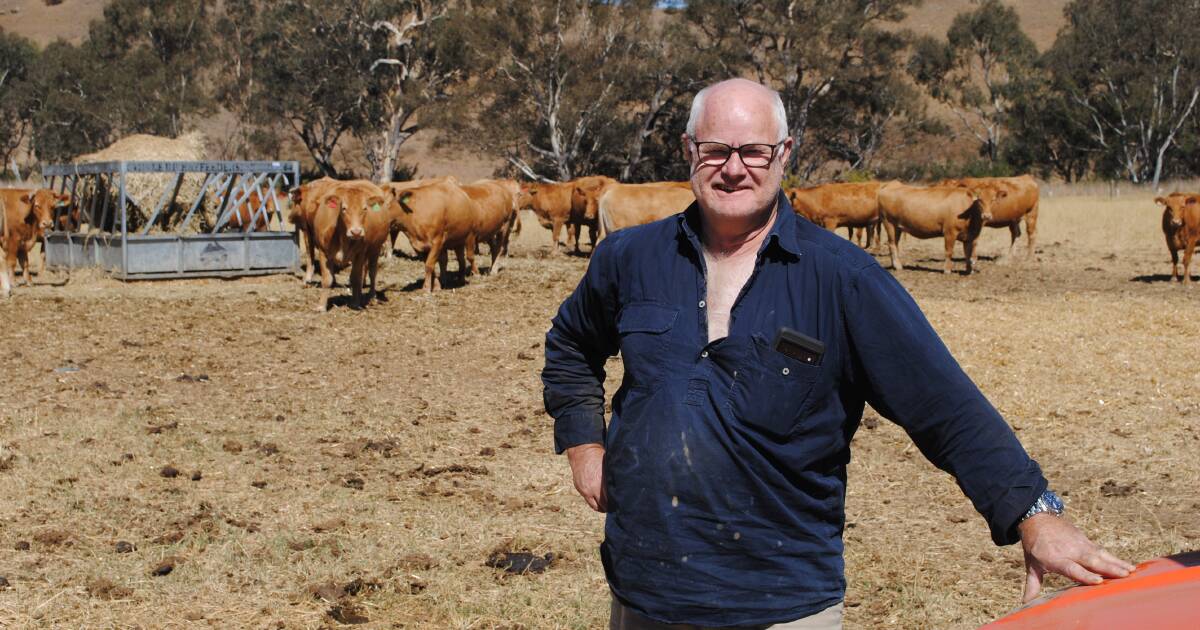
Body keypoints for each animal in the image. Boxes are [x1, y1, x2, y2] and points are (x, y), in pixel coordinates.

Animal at [307, 178, 391, 309]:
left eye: (365, 208)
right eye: (344, 208)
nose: (356, 232)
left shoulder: (359, 253)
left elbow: (356, 278)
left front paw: (355, 304)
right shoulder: (323, 251)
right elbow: (327, 279)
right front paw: (321, 306)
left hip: (375, 249)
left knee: (372, 272)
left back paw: (372, 297)